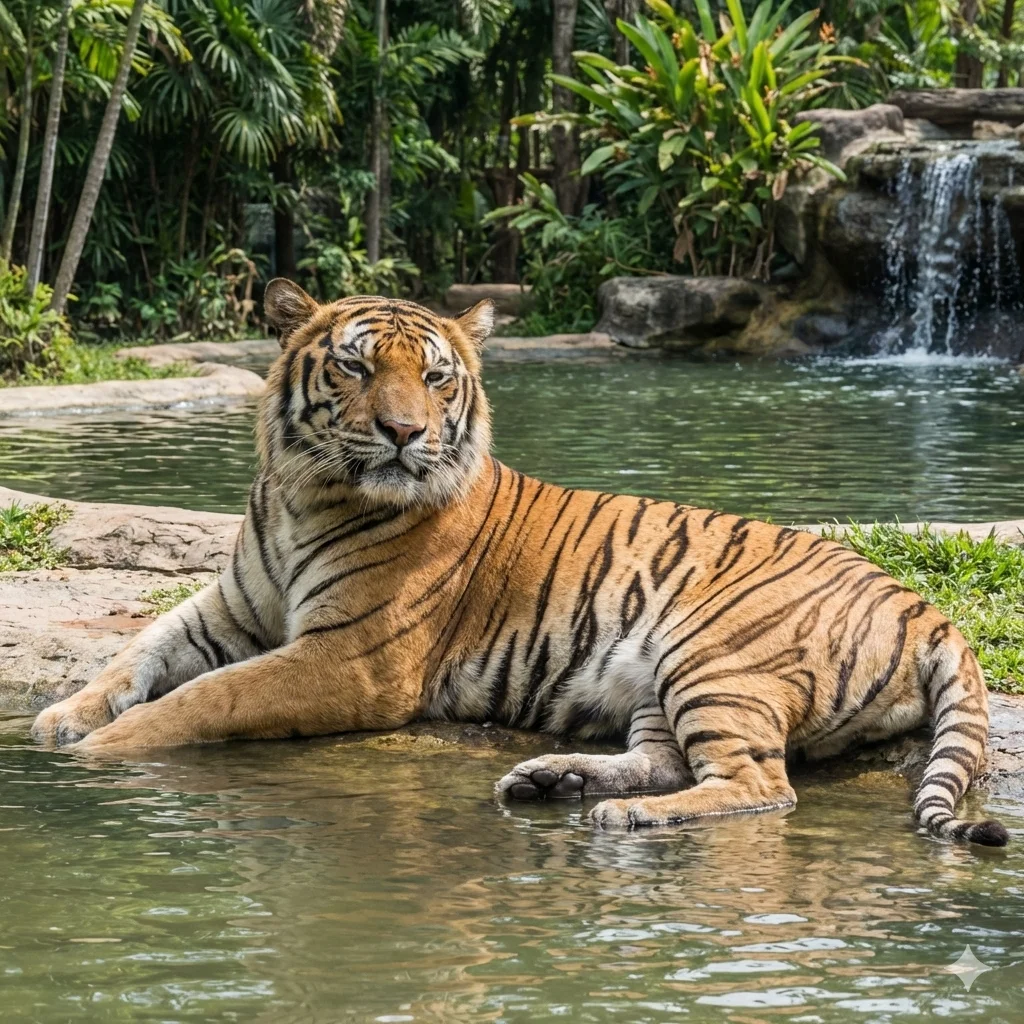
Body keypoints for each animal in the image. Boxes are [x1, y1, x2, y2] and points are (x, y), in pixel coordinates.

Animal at [31, 279, 1008, 846]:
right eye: (355, 369)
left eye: (436, 377)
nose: (404, 433)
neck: (305, 490)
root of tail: (927, 607)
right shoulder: (233, 607)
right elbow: (137, 651)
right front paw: (59, 720)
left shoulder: (351, 659)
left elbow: (209, 696)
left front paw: (106, 751)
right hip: (661, 679)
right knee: (668, 760)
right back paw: (553, 780)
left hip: (713, 656)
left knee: (758, 785)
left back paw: (624, 814)